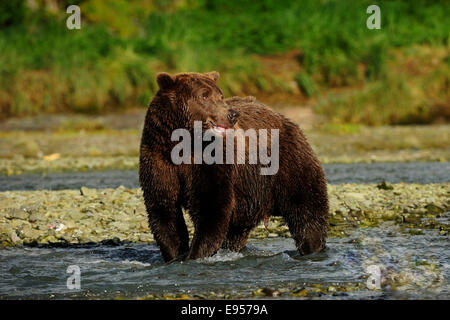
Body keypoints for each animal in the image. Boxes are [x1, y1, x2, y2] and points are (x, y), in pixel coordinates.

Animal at [139, 71, 328, 262]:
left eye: (220, 95)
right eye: (204, 95)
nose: (232, 114)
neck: (185, 144)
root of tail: (284, 118)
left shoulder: (212, 161)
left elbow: (211, 209)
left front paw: (195, 255)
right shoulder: (159, 158)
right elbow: (164, 211)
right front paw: (175, 256)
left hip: (287, 164)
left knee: (307, 211)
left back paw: (312, 247)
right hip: (248, 193)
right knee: (236, 231)